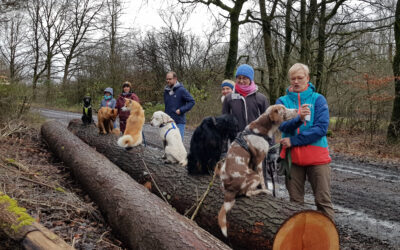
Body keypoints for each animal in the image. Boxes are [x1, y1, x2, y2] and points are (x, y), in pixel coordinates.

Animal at [217, 103, 298, 236]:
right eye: (284, 109)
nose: (297, 110)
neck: (261, 129)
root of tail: (229, 190)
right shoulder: (259, 161)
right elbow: (263, 180)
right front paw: (265, 188)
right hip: (253, 175)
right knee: (248, 193)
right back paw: (263, 191)